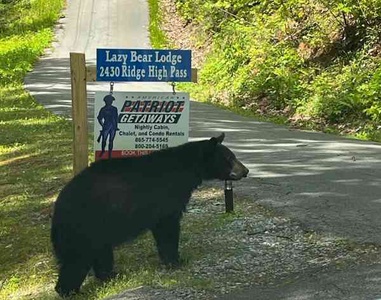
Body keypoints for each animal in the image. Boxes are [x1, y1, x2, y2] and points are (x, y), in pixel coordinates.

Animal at [50, 134, 248, 298]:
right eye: (230, 158)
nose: (245, 171)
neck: (187, 170)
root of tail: (59, 206)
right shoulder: (166, 197)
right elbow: (168, 228)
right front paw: (176, 260)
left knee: (101, 253)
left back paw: (112, 275)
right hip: (86, 224)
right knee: (77, 261)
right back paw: (69, 291)